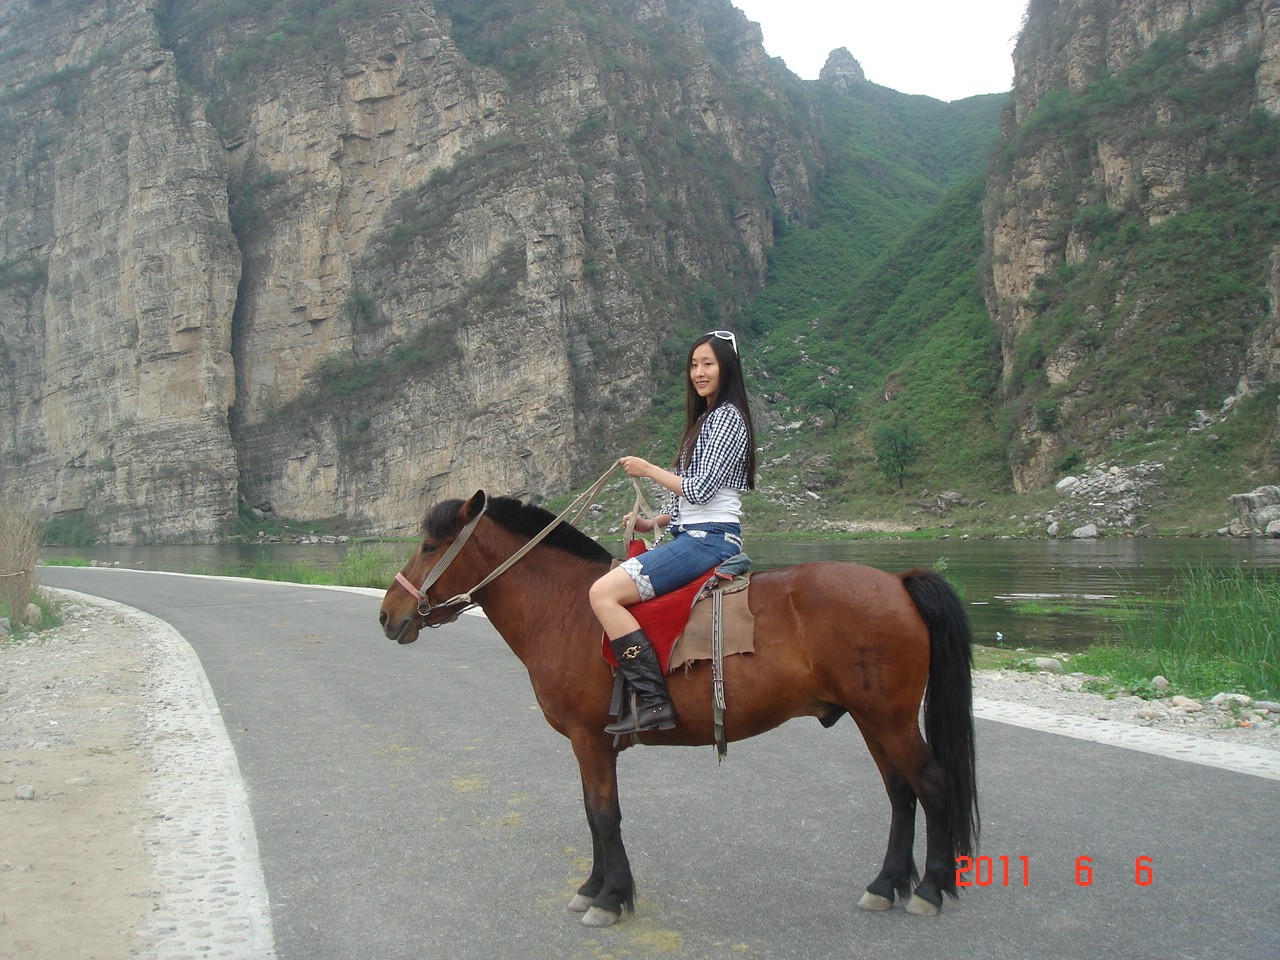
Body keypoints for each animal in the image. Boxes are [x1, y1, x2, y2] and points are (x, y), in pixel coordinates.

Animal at [378, 491, 977, 926]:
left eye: (430, 546)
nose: (388, 614)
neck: (567, 607)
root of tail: (897, 583)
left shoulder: (591, 740)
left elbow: (604, 815)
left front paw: (610, 898)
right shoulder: (588, 745)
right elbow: (593, 815)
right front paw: (594, 887)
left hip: (890, 721)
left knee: (932, 786)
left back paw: (929, 888)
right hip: (873, 720)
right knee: (901, 793)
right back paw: (886, 884)